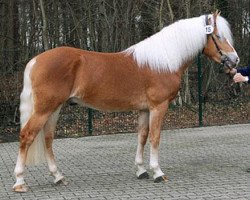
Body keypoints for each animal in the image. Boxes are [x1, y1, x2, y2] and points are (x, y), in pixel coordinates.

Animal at [13, 10, 238, 192]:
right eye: (218, 36)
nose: (235, 60)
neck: (164, 60)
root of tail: (36, 60)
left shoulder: (145, 109)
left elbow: (142, 136)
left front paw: (141, 170)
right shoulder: (159, 107)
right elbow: (155, 137)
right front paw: (157, 172)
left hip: (55, 108)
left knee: (47, 139)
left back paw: (58, 176)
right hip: (45, 109)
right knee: (27, 136)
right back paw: (20, 182)